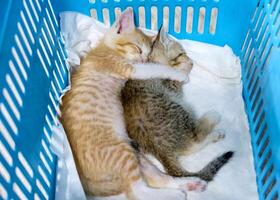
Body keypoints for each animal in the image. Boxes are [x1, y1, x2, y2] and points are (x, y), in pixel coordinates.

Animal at [60, 8, 206, 199]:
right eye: (138, 49)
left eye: (148, 52)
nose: (145, 59)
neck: (107, 47)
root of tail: (87, 184)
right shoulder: (128, 68)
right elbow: (156, 68)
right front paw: (180, 75)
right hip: (121, 153)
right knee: (137, 190)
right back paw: (177, 194)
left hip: (136, 154)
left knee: (158, 179)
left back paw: (189, 184)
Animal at [121, 27, 233, 182]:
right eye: (182, 54)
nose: (191, 62)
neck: (152, 61)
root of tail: (161, 151)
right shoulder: (171, 85)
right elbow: (177, 76)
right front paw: (184, 75)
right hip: (178, 108)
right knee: (196, 138)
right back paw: (214, 124)